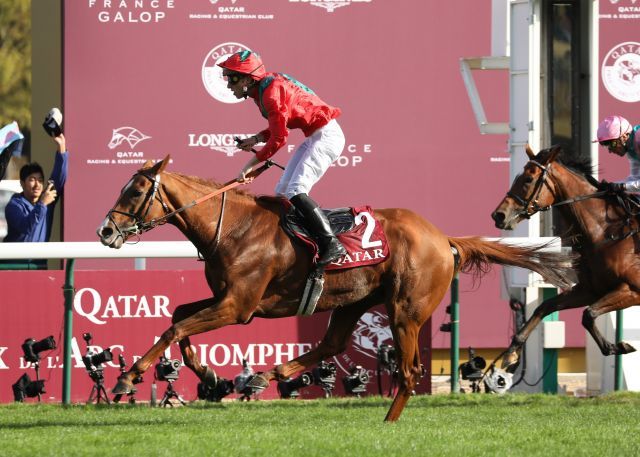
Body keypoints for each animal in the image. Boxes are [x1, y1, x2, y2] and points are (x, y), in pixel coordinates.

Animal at [97, 157, 572, 420]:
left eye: (136, 191)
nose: (105, 231)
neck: (232, 227)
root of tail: (444, 239)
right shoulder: (225, 299)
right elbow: (178, 316)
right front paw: (212, 377)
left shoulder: (238, 306)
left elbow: (176, 327)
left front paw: (128, 377)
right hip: (352, 302)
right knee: (333, 343)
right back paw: (271, 375)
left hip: (405, 311)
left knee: (408, 371)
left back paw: (387, 421)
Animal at [492, 146, 636, 370]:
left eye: (528, 179)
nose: (499, 215)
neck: (605, 232)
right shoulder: (590, 290)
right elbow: (544, 307)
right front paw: (512, 353)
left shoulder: (631, 289)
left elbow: (588, 314)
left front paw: (615, 347)